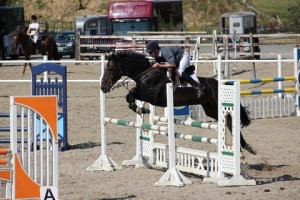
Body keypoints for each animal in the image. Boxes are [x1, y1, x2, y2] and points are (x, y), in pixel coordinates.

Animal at [101, 50, 255, 155]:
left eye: (111, 68)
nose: (103, 87)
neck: (146, 74)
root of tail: (219, 83)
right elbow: (130, 96)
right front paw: (140, 109)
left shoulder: (153, 97)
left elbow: (132, 93)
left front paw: (141, 109)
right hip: (211, 109)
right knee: (228, 122)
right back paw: (244, 147)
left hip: (218, 106)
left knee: (229, 121)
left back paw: (243, 148)